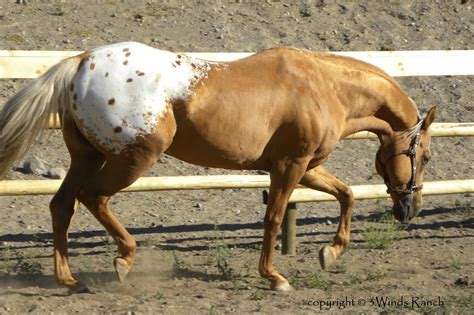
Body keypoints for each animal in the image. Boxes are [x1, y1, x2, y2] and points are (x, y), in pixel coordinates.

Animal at [0, 42, 436, 294]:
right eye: (426, 157)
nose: (411, 209)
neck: (324, 86)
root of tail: (81, 63)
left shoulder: (307, 167)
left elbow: (346, 194)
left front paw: (330, 253)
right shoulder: (289, 166)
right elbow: (274, 217)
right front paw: (274, 277)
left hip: (88, 156)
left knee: (63, 205)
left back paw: (69, 279)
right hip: (134, 157)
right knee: (93, 197)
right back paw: (123, 261)